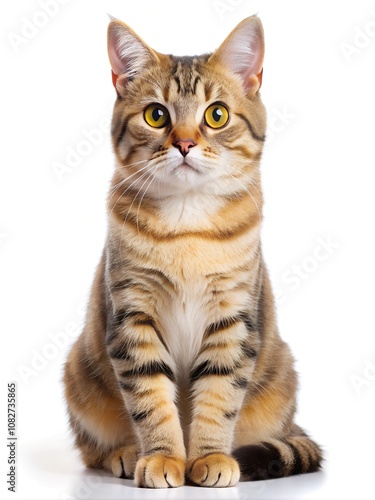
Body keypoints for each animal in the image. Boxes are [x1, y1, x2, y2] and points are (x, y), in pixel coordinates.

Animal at [64, 14, 324, 488]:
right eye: (156, 115)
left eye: (216, 115)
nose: (184, 144)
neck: (188, 227)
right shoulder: (133, 316)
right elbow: (151, 398)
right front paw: (164, 456)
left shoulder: (233, 320)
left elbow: (219, 396)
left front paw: (210, 457)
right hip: (78, 372)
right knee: (92, 448)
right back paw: (125, 452)